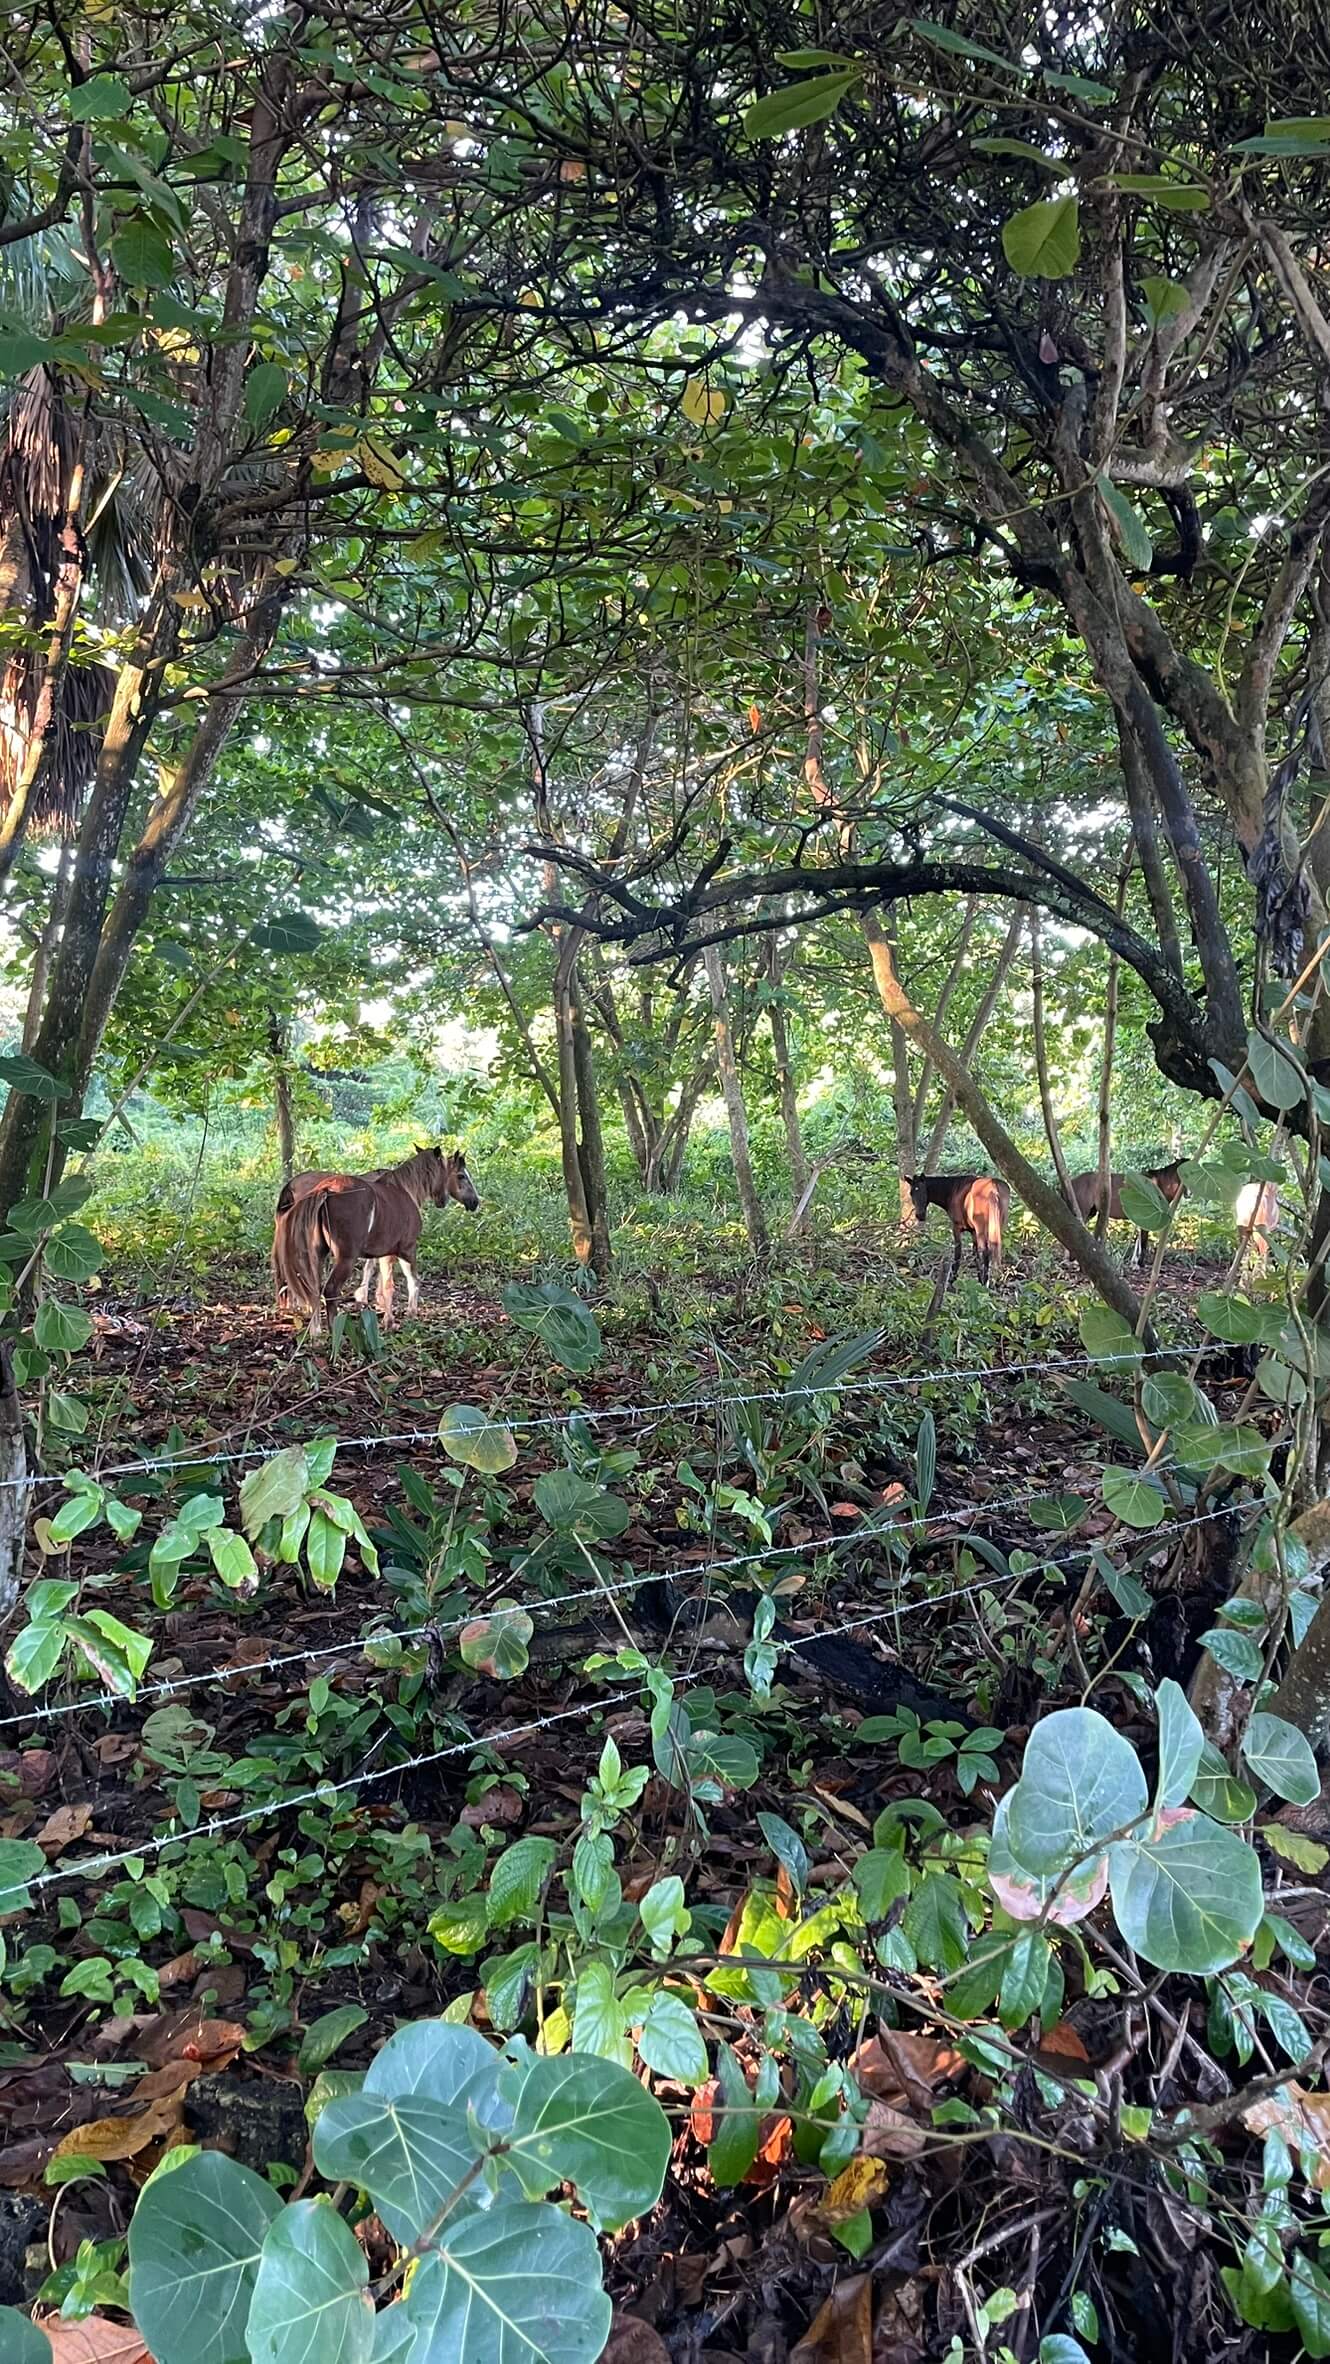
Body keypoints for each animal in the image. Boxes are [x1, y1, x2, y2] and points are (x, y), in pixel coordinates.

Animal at [270, 1144, 479, 1333]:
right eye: (461, 1175)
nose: (475, 1202)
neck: (404, 1189)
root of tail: (326, 1190)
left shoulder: (383, 1252)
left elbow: (383, 1281)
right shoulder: (406, 1249)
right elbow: (410, 1281)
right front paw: (405, 1314)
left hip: (315, 1255)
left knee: (311, 1288)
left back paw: (315, 1330)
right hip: (345, 1259)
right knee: (330, 1290)